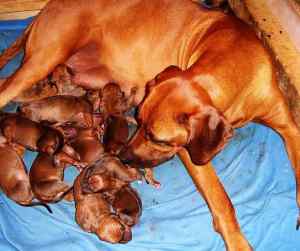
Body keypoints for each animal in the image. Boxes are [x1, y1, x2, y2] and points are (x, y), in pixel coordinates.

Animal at [0, 0, 298, 251]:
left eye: (158, 139)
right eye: (139, 121)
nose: (122, 157)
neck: (233, 62)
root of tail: (48, 7)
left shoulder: (289, 126)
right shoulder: (191, 152)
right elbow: (221, 198)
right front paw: (237, 241)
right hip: (42, 61)